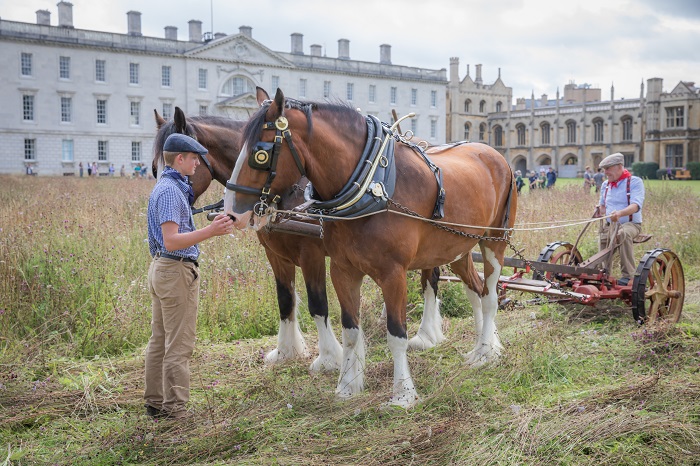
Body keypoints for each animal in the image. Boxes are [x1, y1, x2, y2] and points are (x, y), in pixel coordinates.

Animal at [153, 106, 448, 374]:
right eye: (155, 167)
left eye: (174, 164)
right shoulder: (275, 253)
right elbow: (285, 300)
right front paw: (286, 351)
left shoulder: (311, 254)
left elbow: (317, 303)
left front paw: (329, 358)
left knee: (430, 279)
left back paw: (426, 335)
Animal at [227, 88, 516, 408]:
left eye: (260, 153)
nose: (231, 212)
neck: (373, 186)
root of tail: (495, 155)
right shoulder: (342, 270)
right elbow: (350, 330)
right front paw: (347, 386)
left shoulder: (392, 274)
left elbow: (396, 333)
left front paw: (402, 393)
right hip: (457, 249)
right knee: (476, 291)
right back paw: (483, 346)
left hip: (494, 242)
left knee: (490, 297)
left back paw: (486, 353)